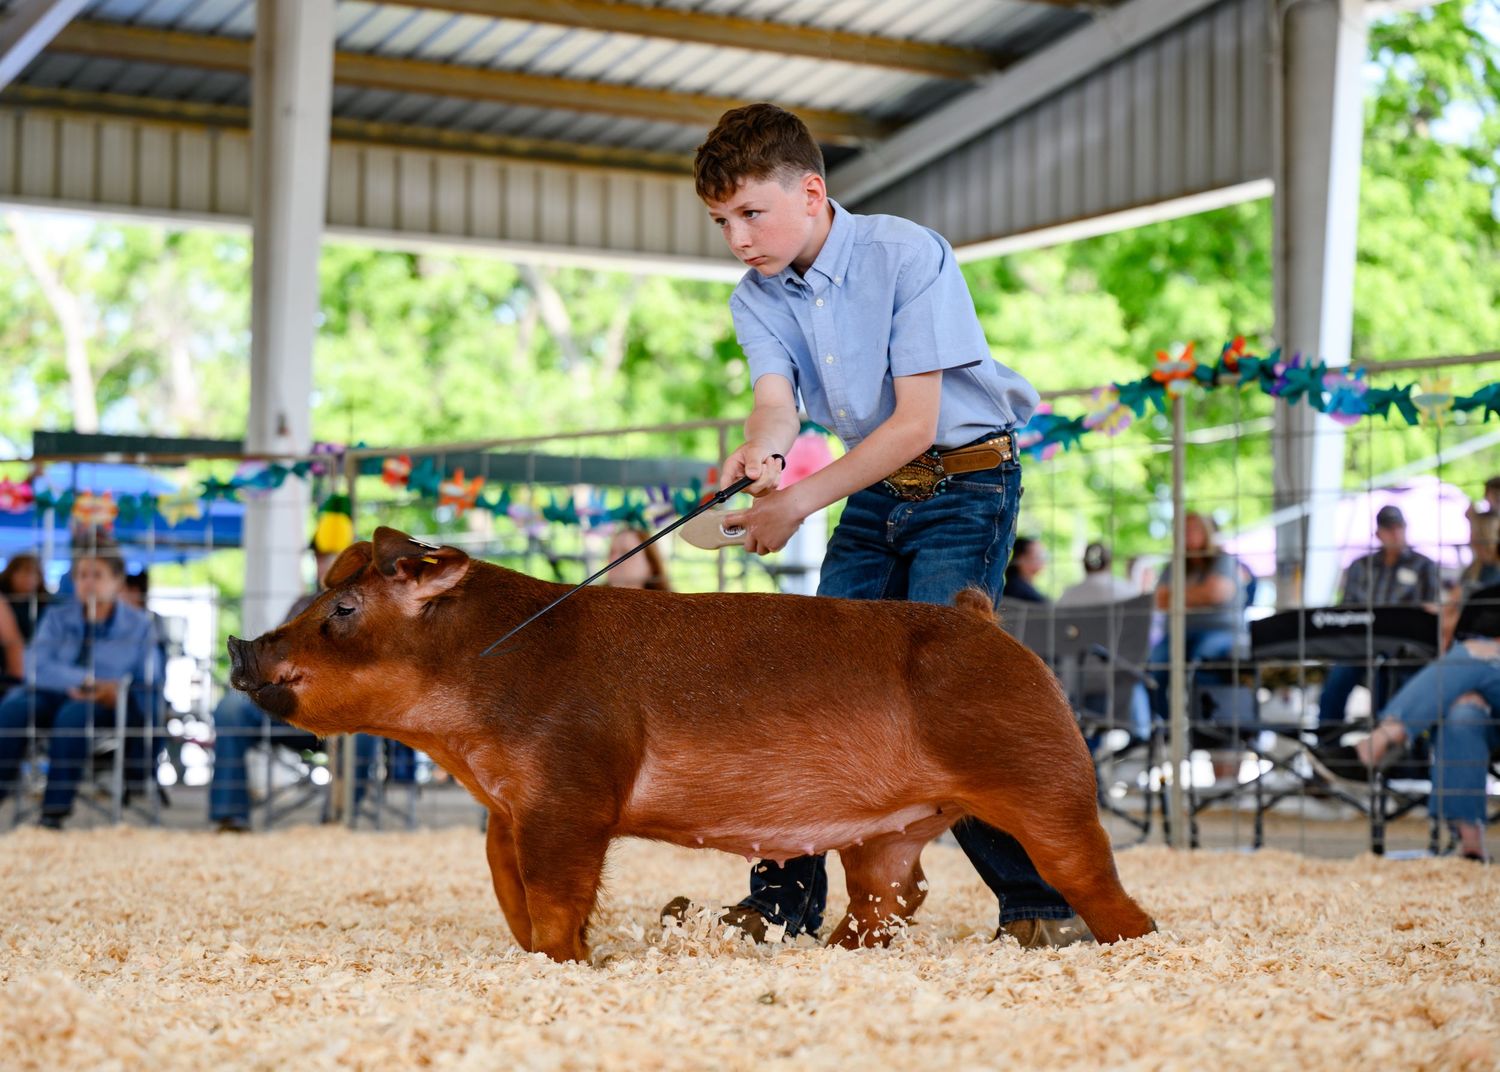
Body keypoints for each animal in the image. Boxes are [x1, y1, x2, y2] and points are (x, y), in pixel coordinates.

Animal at [228, 526, 1154, 963]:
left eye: (343, 611)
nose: (241, 647)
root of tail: (980, 615)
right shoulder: (506, 809)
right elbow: (509, 891)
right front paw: (541, 955)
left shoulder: (571, 792)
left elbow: (557, 892)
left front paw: (571, 961)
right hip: (890, 829)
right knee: (895, 895)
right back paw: (821, 956)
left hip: (1043, 777)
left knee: (1087, 875)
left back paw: (1136, 945)